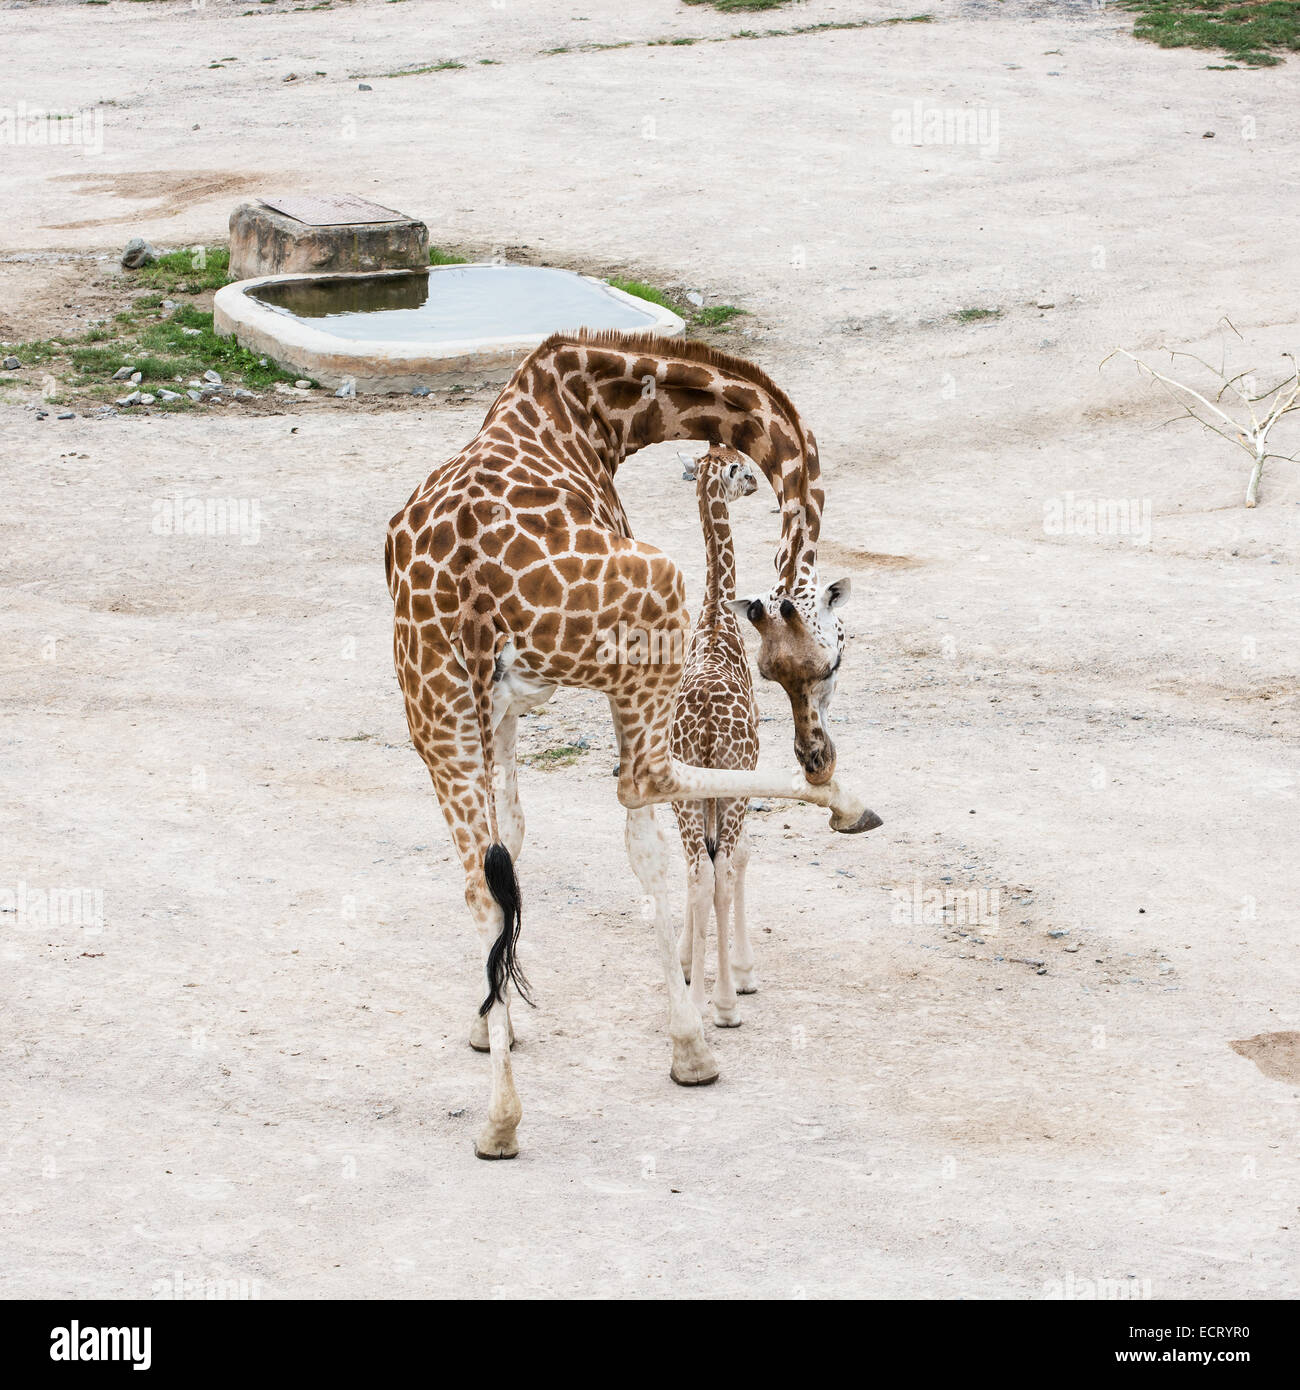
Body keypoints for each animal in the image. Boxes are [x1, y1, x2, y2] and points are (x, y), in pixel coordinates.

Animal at [380, 330, 878, 1156]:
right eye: (832, 659)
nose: (817, 751)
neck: (602, 406)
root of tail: (470, 590)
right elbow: (644, 840)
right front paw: (687, 1040)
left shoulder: (500, 705)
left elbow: (512, 839)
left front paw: (487, 1026)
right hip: (647, 616)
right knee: (647, 789)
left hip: (433, 707)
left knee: (478, 874)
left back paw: (500, 1120)